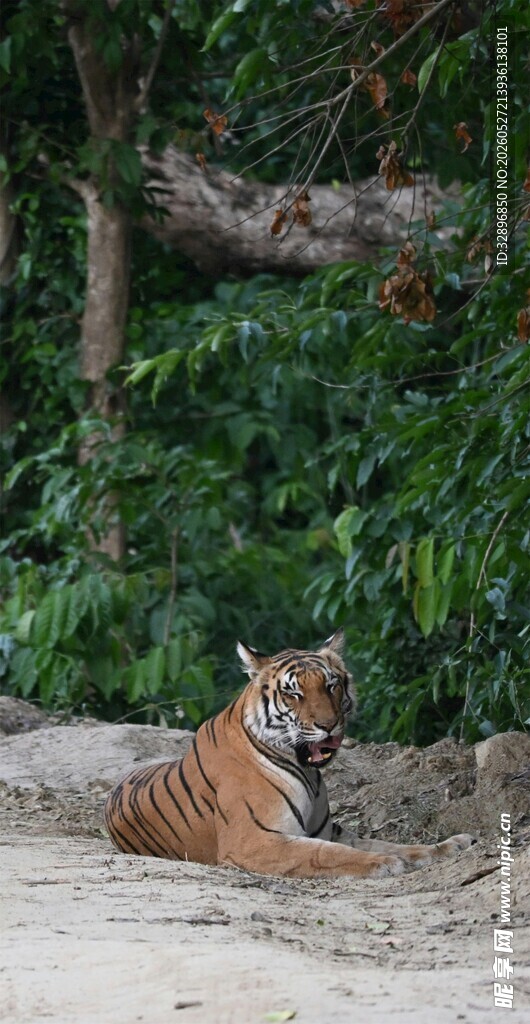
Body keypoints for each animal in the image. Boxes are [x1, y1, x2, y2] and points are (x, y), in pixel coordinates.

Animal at [104, 629, 475, 878]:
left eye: (331, 685)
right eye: (294, 693)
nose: (329, 726)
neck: (308, 772)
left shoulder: (330, 830)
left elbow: (386, 843)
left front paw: (450, 845)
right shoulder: (253, 840)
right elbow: (328, 854)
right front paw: (383, 864)